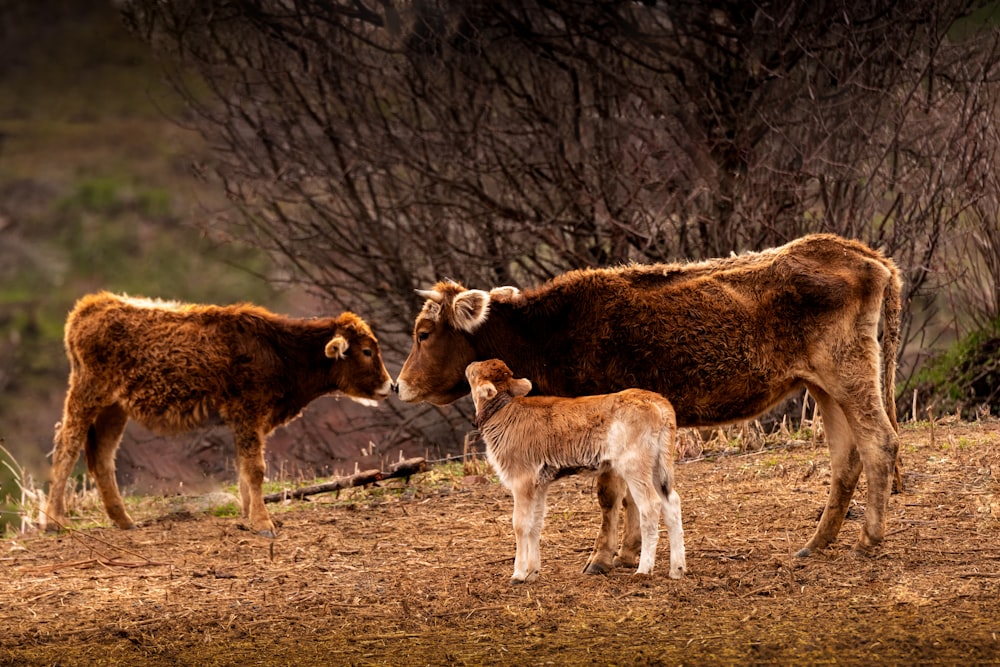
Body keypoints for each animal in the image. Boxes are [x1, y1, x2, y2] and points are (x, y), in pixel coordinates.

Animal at [46, 294, 394, 536]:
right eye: (367, 351)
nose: (389, 385)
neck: (280, 349)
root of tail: (94, 305)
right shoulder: (248, 414)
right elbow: (255, 469)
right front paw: (263, 523)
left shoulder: (249, 422)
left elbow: (244, 470)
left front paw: (248, 514)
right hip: (86, 395)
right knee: (67, 448)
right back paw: (53, 522)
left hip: (113, 410)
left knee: (102, 457)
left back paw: (125, 521)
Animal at [398, 232, 908, 568]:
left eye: (424, 333)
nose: (399, 385)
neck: (548, 332)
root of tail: (856, 251)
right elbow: (625, 494)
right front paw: (627, 553)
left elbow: (609, 494)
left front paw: (604, 558)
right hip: (824, 387)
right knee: (846, 458)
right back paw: (817, 543)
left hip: (848, 374)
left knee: (880, 442)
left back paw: (869, 539)